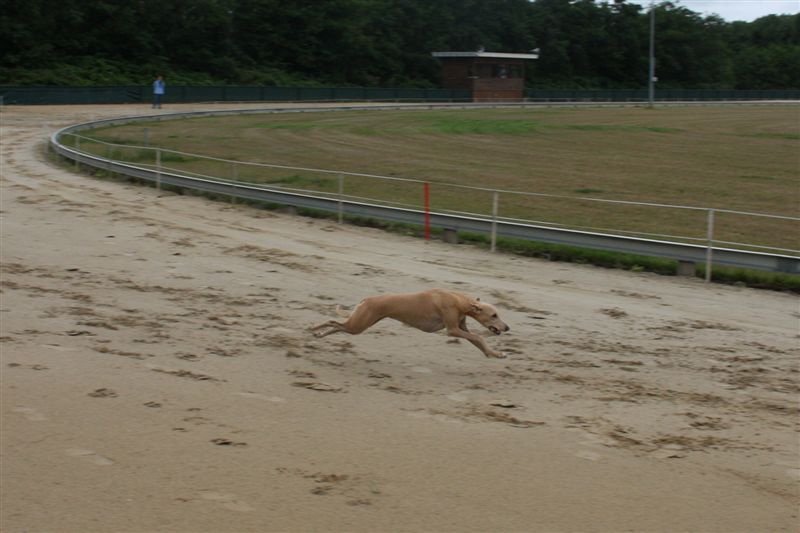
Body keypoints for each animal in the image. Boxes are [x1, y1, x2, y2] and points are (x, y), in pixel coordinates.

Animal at [310, 289, 510, 358]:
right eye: (494, 315)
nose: (507, 327)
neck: (459, 302)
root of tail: (366, 299)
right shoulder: (452, 330)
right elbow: (479, 337)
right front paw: (496, 352)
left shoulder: (461, 328)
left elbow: (477, 340)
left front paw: (496, 354)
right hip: (359, 324)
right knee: (333, 322)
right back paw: (313, 328)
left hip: (360, 323)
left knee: (337, 325)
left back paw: (318, 334)